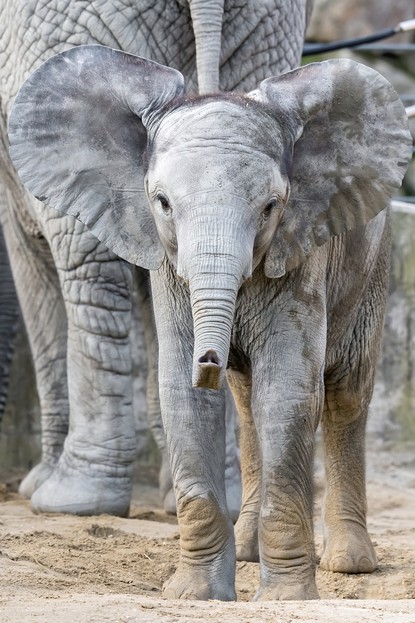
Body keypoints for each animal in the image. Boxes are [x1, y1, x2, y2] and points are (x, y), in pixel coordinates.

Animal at [9, 44, 412, 600]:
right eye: (162, 203)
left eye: (270, 207)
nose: (209, 357)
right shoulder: (168, 266)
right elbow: (183, 396)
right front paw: (195, 595)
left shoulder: (301, 253)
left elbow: (287, 390)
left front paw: (285, 599)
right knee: (246, 405)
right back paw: (247, 552)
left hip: (372, 265)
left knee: (346, 393)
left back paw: (349, 565)